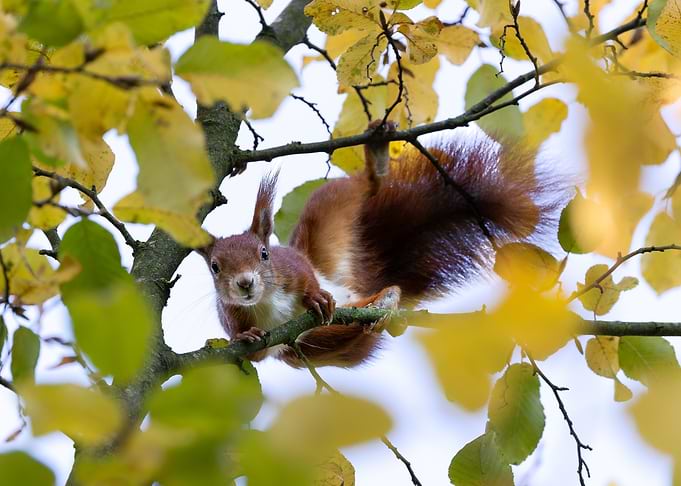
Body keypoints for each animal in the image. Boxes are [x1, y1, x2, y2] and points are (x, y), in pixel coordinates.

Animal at [200, 130, 553, 368]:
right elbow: (255, 353)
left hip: (326, 212)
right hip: (319, 345)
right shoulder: (234, 317)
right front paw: (244, 337)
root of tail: (349, 286)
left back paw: (377, 163)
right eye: (215, 267)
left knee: (358, 189)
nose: (245, 283)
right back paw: (383, 300)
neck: (266, 300)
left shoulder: (291, 265)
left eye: (264, 253)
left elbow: (303, 274)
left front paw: (314, 297)